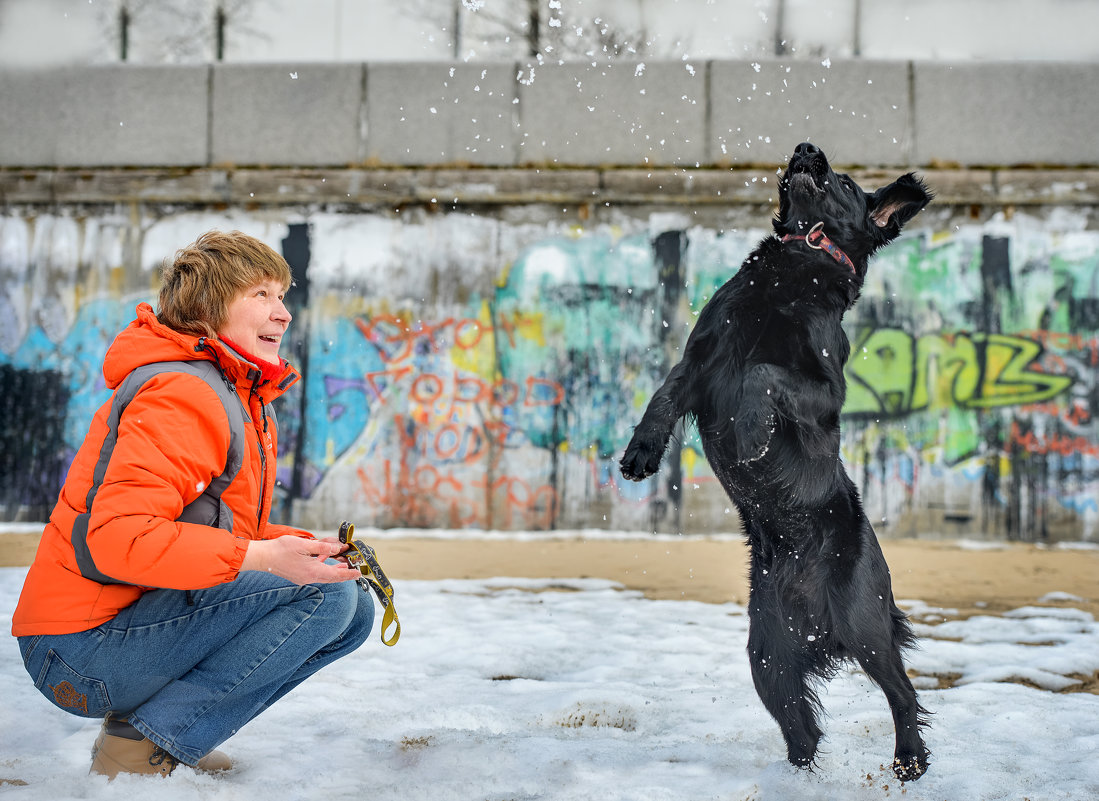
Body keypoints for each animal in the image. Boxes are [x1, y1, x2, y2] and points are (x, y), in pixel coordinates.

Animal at [624, 141, 931, 782]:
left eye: (844, 181)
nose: (805, 149)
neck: (796, 267)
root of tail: (818, 627)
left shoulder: (826, 391)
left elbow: (763, 376)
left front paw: (749, 435)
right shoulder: (700, 358)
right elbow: (663, 394)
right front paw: (640, 451)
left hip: (863, 622)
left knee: (903, 692)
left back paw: (910, 760)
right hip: (767, 654)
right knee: (803, 730)